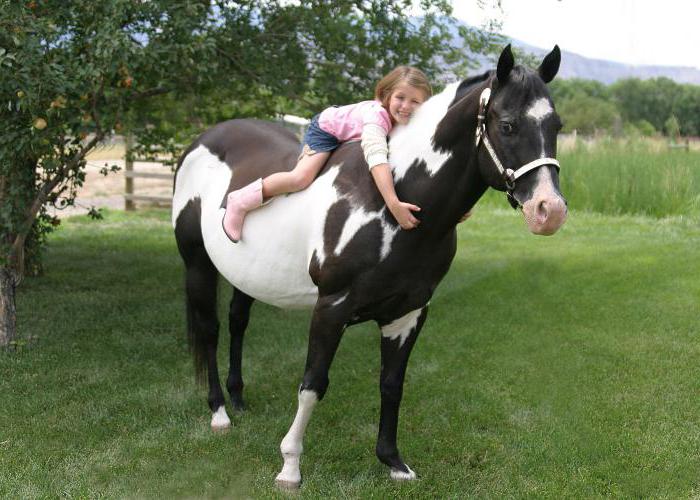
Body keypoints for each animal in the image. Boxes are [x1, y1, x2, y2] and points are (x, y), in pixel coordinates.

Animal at [172, 45, 568, 486]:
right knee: (209, 329)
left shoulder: (408, 314)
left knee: (238, 321)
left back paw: (239, 399)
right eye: (508, 125)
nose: (549, 211)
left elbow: (392, 384)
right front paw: (290, 466)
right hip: (197, 264)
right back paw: (220, 413)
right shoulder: (331, 308)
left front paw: (394, 462)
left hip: (248, 275)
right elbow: (313, 384)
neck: (393, 200)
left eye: (556, 125)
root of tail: (202, 140)